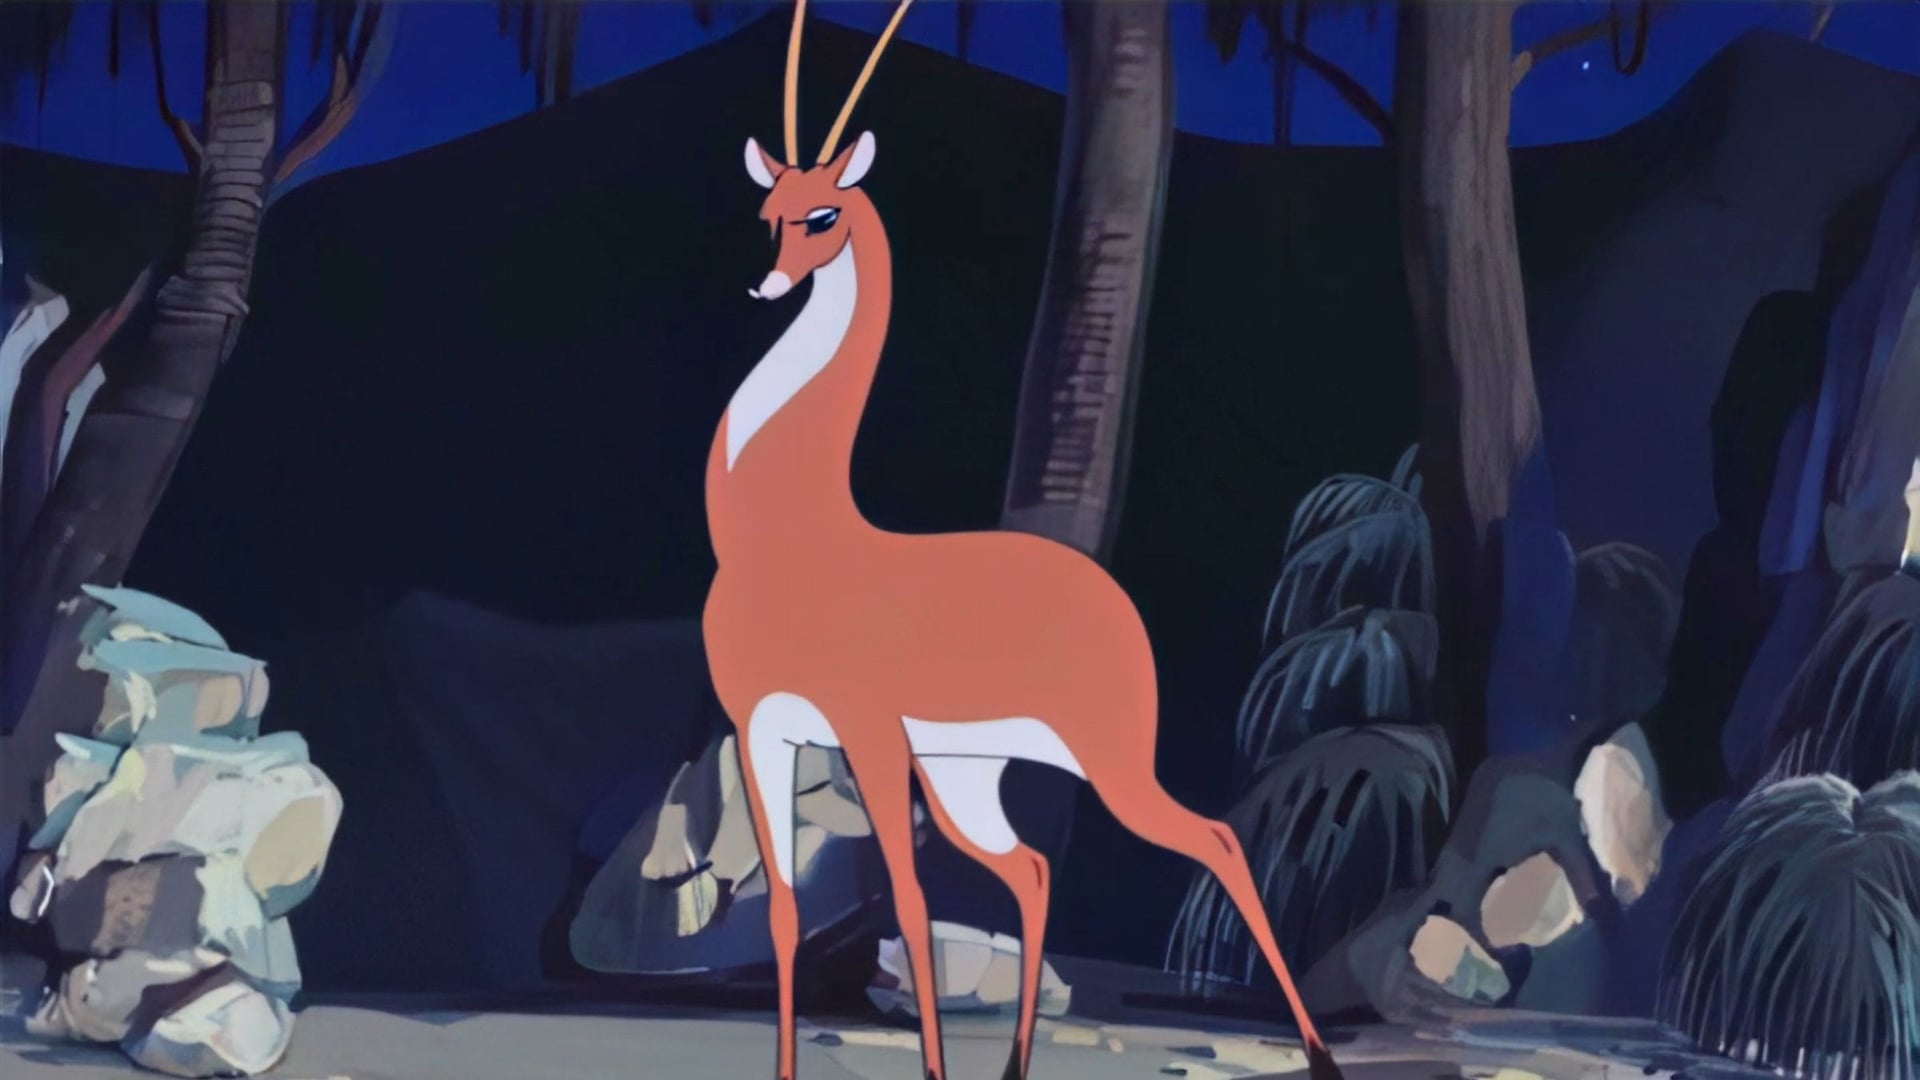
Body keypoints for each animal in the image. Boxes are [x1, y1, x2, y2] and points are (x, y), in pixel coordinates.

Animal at [701, 2, 1342, 1078]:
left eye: (825, 215)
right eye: (769, 212)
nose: (764, 286)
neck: (789, 536)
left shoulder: (867, 730)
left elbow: (909, 898)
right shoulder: (762, 726)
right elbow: (788, 914)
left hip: (1107, 760)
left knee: (1212, 837)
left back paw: (1323, 1054)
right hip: (969, 775)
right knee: (1034, 868)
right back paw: (1011, 1063)